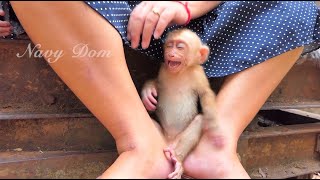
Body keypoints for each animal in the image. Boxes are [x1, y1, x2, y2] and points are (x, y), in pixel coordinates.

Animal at [141, 28, 216, 179]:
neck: (181, 72)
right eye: (170, 45)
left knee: (199, 121)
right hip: (160, 138)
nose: (171, 54)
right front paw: (148, 92)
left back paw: (177, 160)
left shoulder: (198, 74)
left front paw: (215, 127)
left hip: (178, 142)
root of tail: (169, 142)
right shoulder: (163, 69)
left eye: (180, 47)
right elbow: (157, 83)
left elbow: (205, 94)